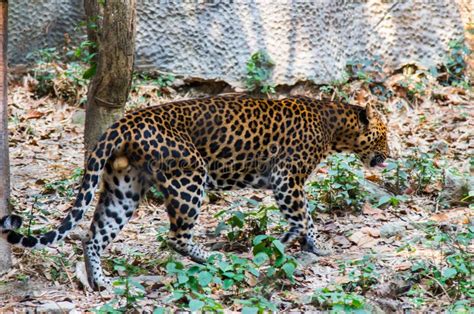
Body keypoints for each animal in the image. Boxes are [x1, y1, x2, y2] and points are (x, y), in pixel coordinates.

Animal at [0, 94, 388, 290]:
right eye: (384, 134)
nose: (389, 155)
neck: (335, 125)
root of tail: (124, 123)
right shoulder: (286, 177)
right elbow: (305, 215)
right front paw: (315, 245)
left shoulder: (283, 183)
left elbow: (295, 219)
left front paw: (285, 242)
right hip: (190, 176)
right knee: (176, 236)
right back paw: (214, 259)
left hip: (123, 190)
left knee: (92, 237)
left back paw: (101, 283)